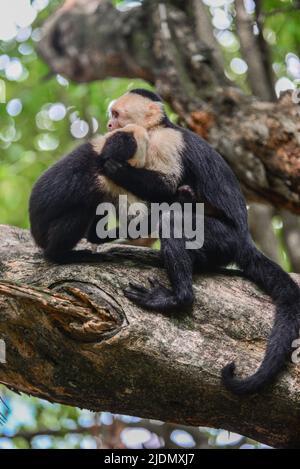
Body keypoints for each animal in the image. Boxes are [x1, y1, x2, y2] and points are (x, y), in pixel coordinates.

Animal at [96, 86, 300, 394]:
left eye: (116, 115)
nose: (108, 125)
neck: (156, 130)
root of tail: (245, 241)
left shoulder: (167, 142)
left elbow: (166, 187)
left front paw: (110, 164)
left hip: (223, 238)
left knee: (174, 218)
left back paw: (177, 298)